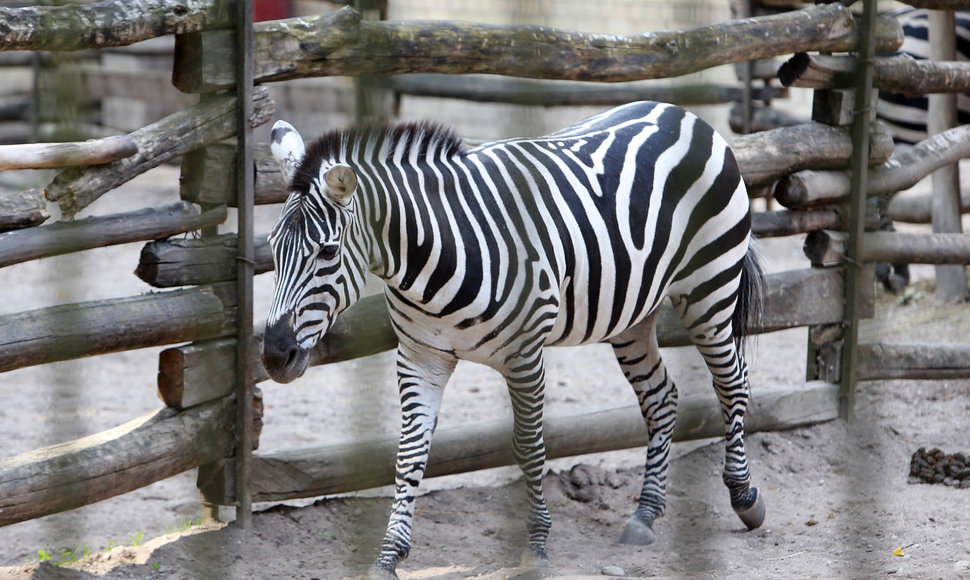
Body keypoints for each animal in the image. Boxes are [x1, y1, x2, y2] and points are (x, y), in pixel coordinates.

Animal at [260, 102, 768, 576]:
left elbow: (528, 446)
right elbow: (408, 453)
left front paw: (537, 546)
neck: (432, 260)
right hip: (632, 314)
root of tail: (682, 114)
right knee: (661, 397)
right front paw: (388, 556)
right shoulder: (420, 356)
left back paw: (744, 497)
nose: (274, 356)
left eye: (327, 252)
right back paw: (644, 514)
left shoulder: (524, 356)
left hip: (709, 289)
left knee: (733, 384)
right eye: (272, 248)